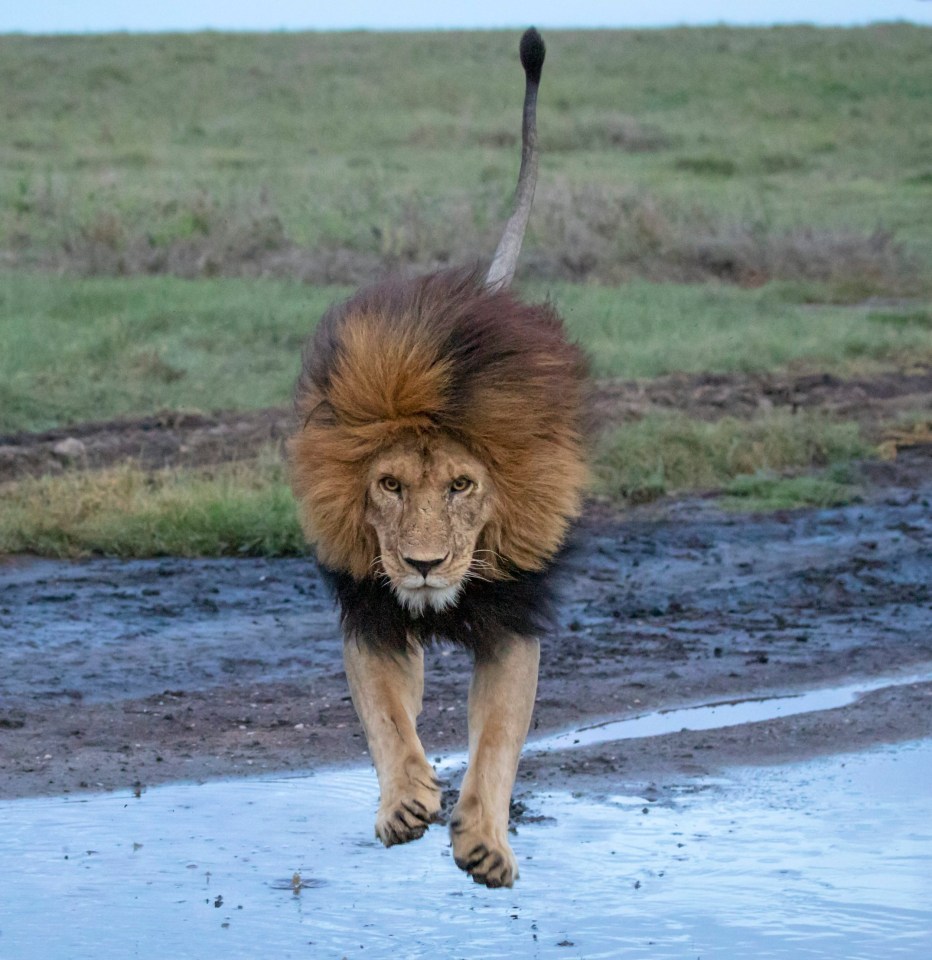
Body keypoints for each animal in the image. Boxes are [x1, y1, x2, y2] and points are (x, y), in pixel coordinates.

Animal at [288, 26, 588, 888]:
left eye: (462, 485)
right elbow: (387, 717)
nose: (422, 564)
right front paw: (406, 803)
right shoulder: (370, 612)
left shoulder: (514, 622)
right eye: (388, 484)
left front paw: (485, 841)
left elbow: (498, 741)